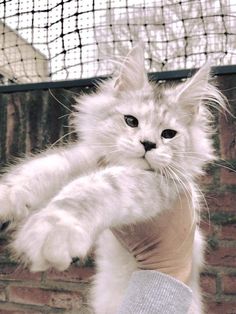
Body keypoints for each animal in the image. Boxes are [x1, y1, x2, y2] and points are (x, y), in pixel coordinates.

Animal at [0, 45, 227, 312]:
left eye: (168, 134)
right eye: (131, 121)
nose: (148, 144)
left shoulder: (157, 185)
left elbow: (95, 189)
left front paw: (55, 229)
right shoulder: (86, 156)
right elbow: (42, 168)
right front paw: (7, 196)